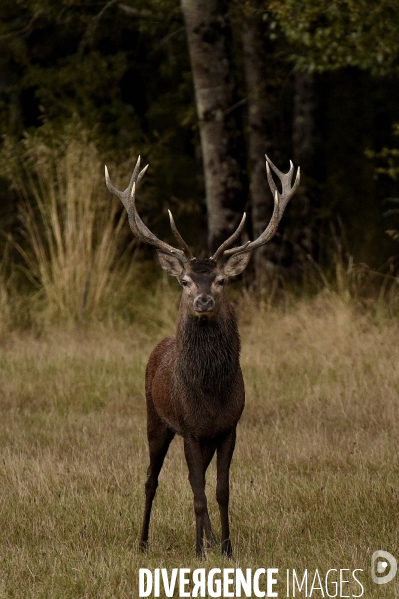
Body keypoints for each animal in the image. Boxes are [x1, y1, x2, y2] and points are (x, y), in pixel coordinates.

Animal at [104, 154, 298, 556]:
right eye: (184, 281)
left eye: (222, 280)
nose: (203, 301)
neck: (209, 394)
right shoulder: (190, 429)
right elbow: (196, 493)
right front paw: (197, 550)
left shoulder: (228, 427)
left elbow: (220, 490)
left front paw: (225, 547)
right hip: (155, 419)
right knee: (151, 479)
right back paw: (143, 542)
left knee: (199, 480)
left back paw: (207, 538)